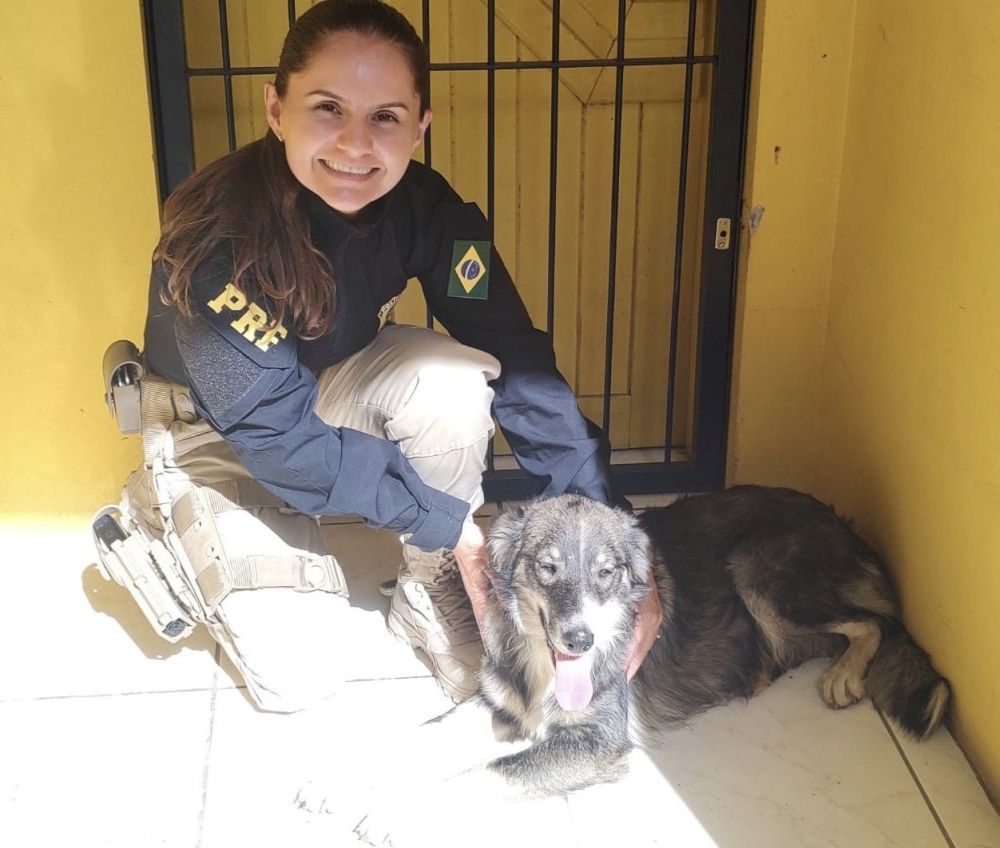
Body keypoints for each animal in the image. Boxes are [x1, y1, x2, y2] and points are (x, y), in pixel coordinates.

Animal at [294, 486, 944, 840]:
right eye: (547, 568)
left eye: (606, 572)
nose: (580, 639)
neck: (546, 666)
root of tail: (838, 520)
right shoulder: (502, 703)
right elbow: (419, 737)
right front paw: (340, 780)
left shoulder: (598, 744)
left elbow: (487, 772)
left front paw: (397, 813)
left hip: (760, 576)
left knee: (876, 622)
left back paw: (844, 675)